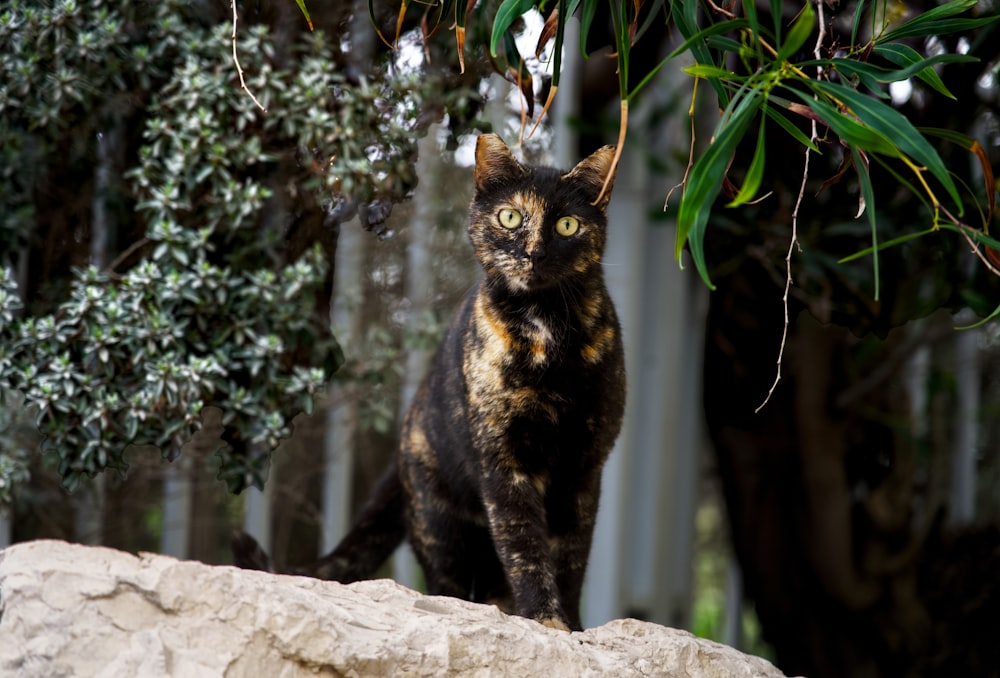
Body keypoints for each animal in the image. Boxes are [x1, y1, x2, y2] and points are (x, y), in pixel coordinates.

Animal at [235, 135, 624, 636]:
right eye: (510, 217)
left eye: (567, 225)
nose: (534, 252)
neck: (546, 329)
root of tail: (402, 443)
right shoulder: (502, 462)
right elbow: (524, 546)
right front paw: (544, 618)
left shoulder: (584, 467)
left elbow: (572, 557)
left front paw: (570, 626)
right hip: (441, 528)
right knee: (452, 585)